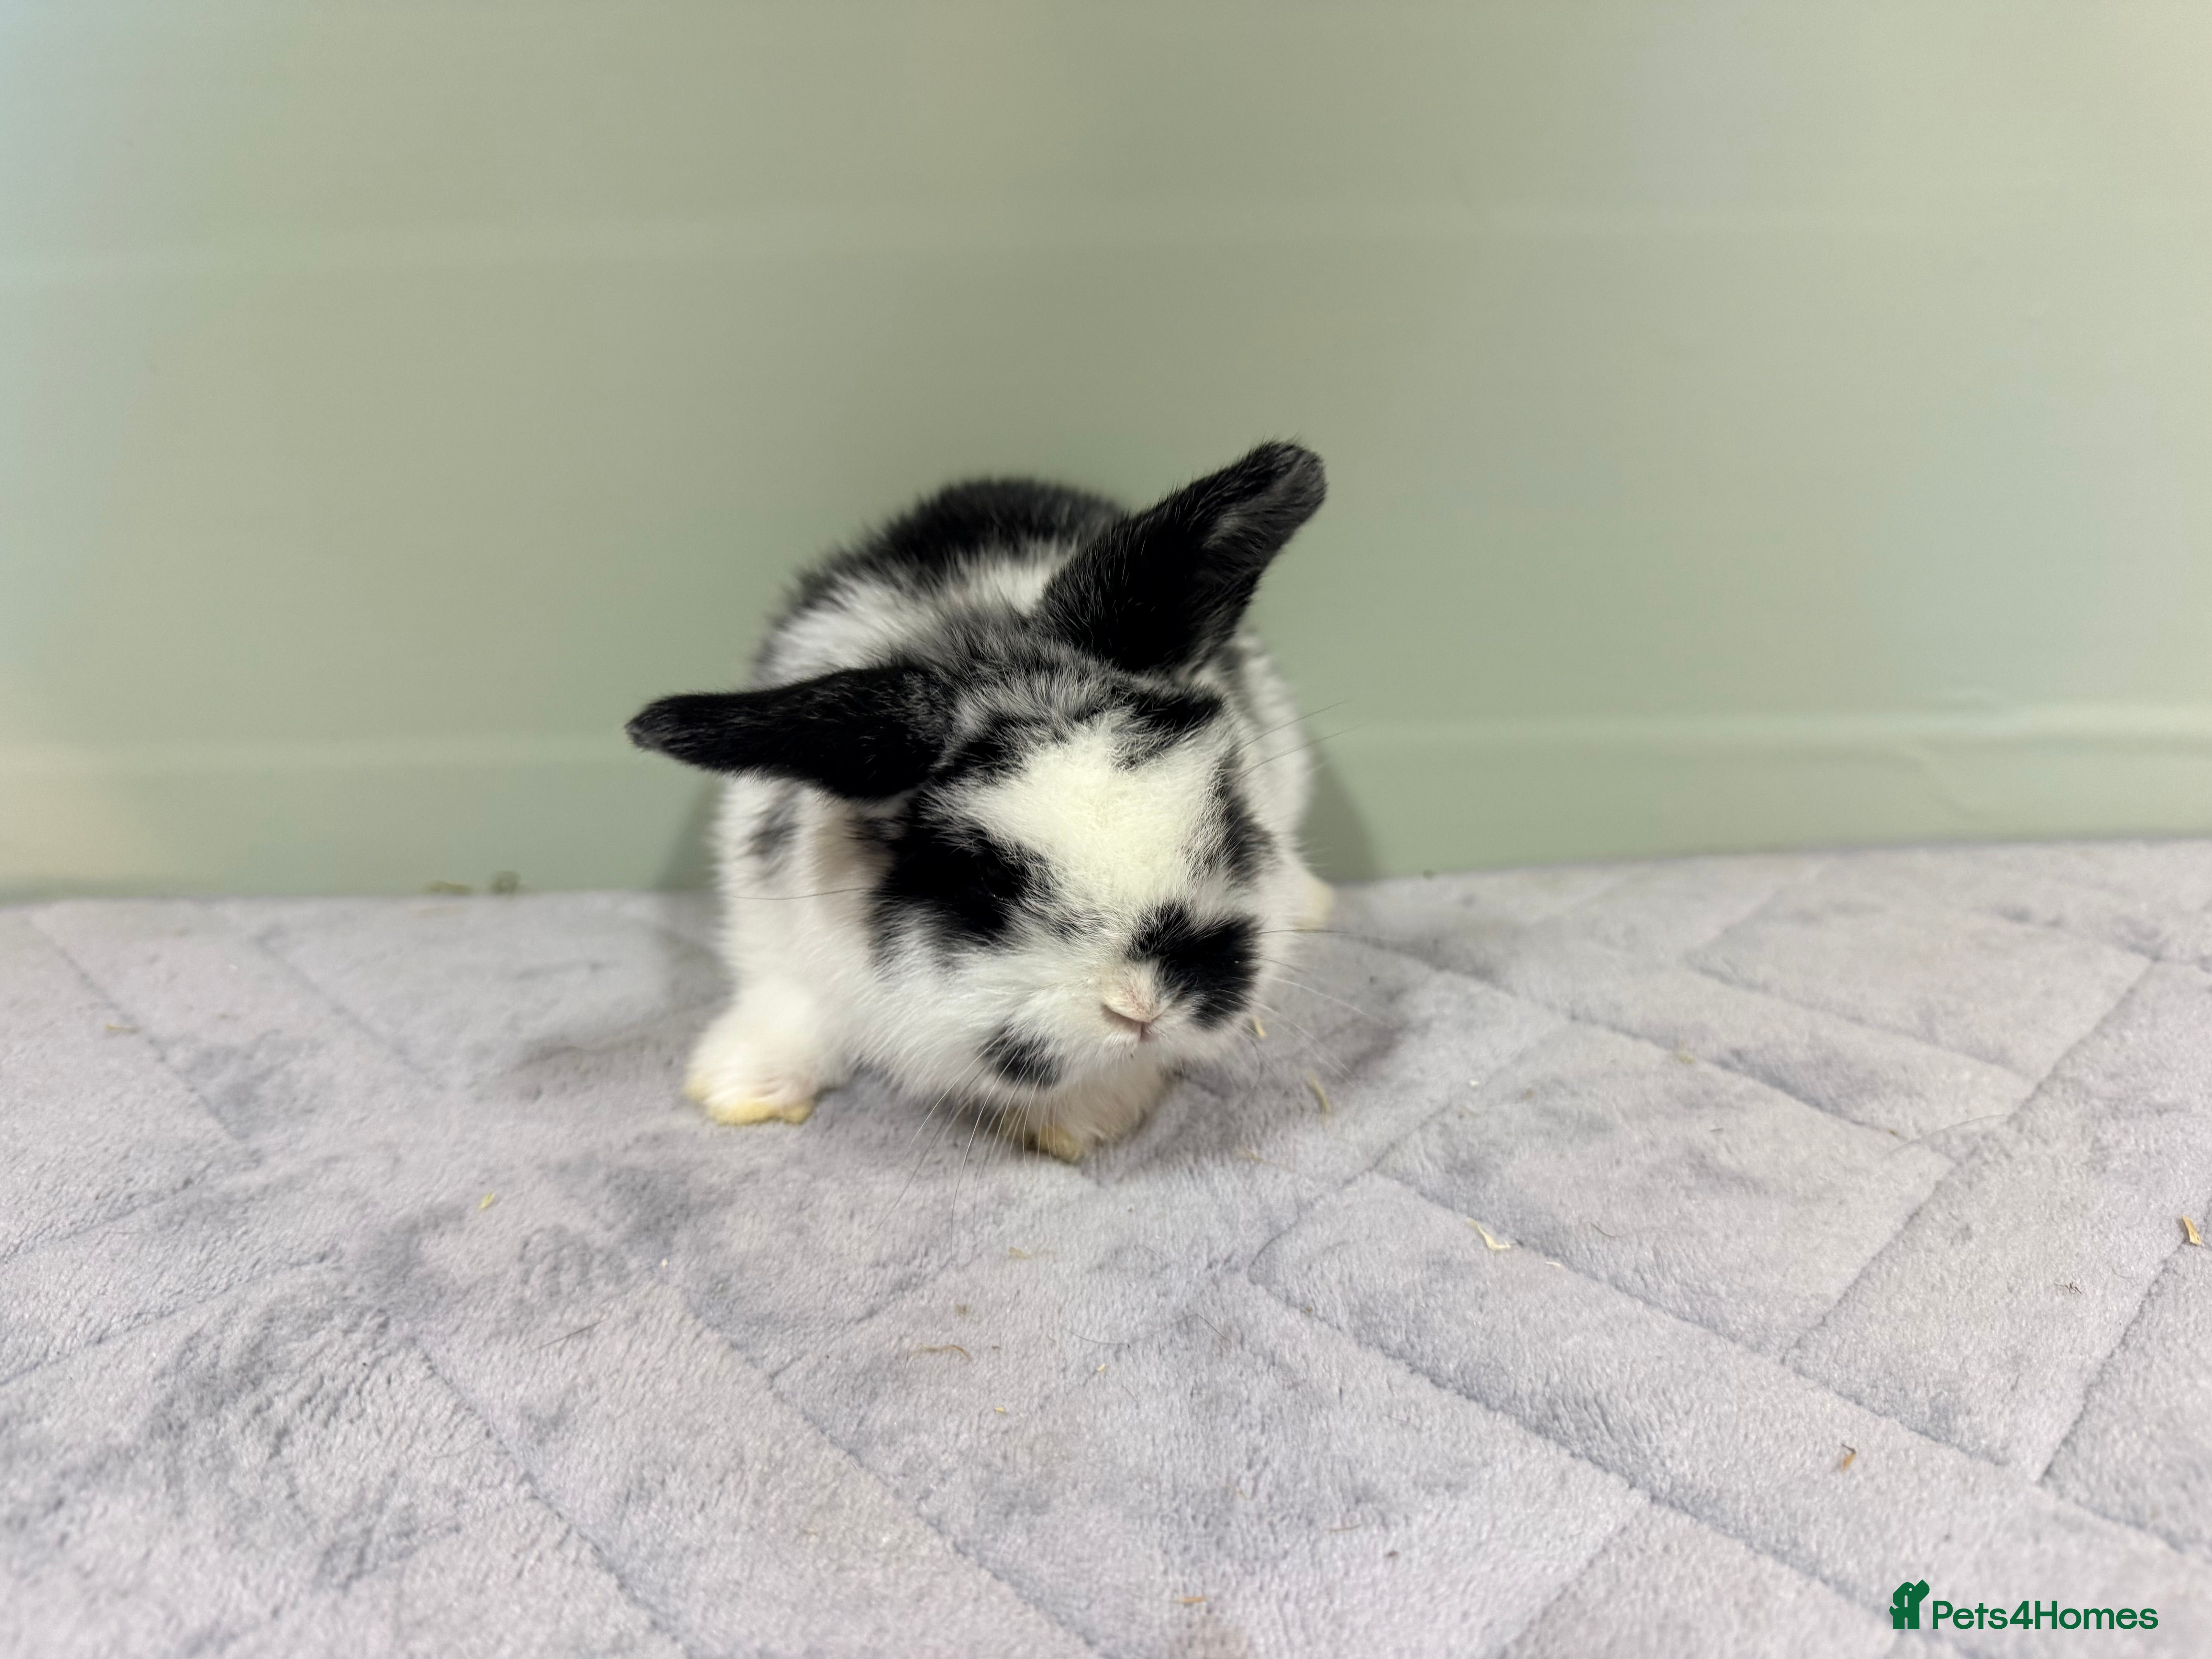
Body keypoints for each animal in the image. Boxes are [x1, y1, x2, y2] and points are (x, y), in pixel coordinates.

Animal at [626, 440, 1335, 1160]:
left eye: (1226, 815)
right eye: (982, 881)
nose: (1142, 1004)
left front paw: (1081, 1119)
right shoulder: (765, 908)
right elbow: (788, 995)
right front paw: (741, 1089)